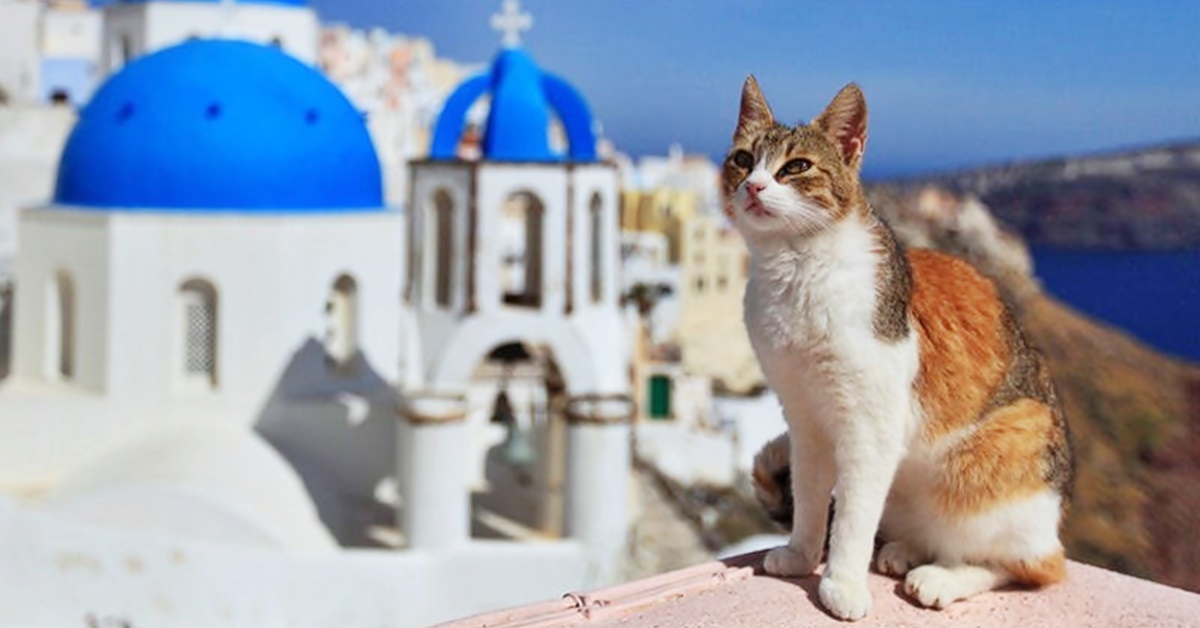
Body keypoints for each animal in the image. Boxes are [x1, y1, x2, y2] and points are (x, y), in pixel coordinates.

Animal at [724, 76, 1075, 619]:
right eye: (743, 159)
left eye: (796, 166)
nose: (754, 186)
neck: (797, 271)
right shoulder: (805, 418)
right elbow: (810, 498)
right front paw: (803, 556)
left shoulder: (869, 429)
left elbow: (852, 517)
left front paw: (842, 584)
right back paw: (905, 550)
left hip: (1005, 446)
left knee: (1025, 566)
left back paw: (942, 578)